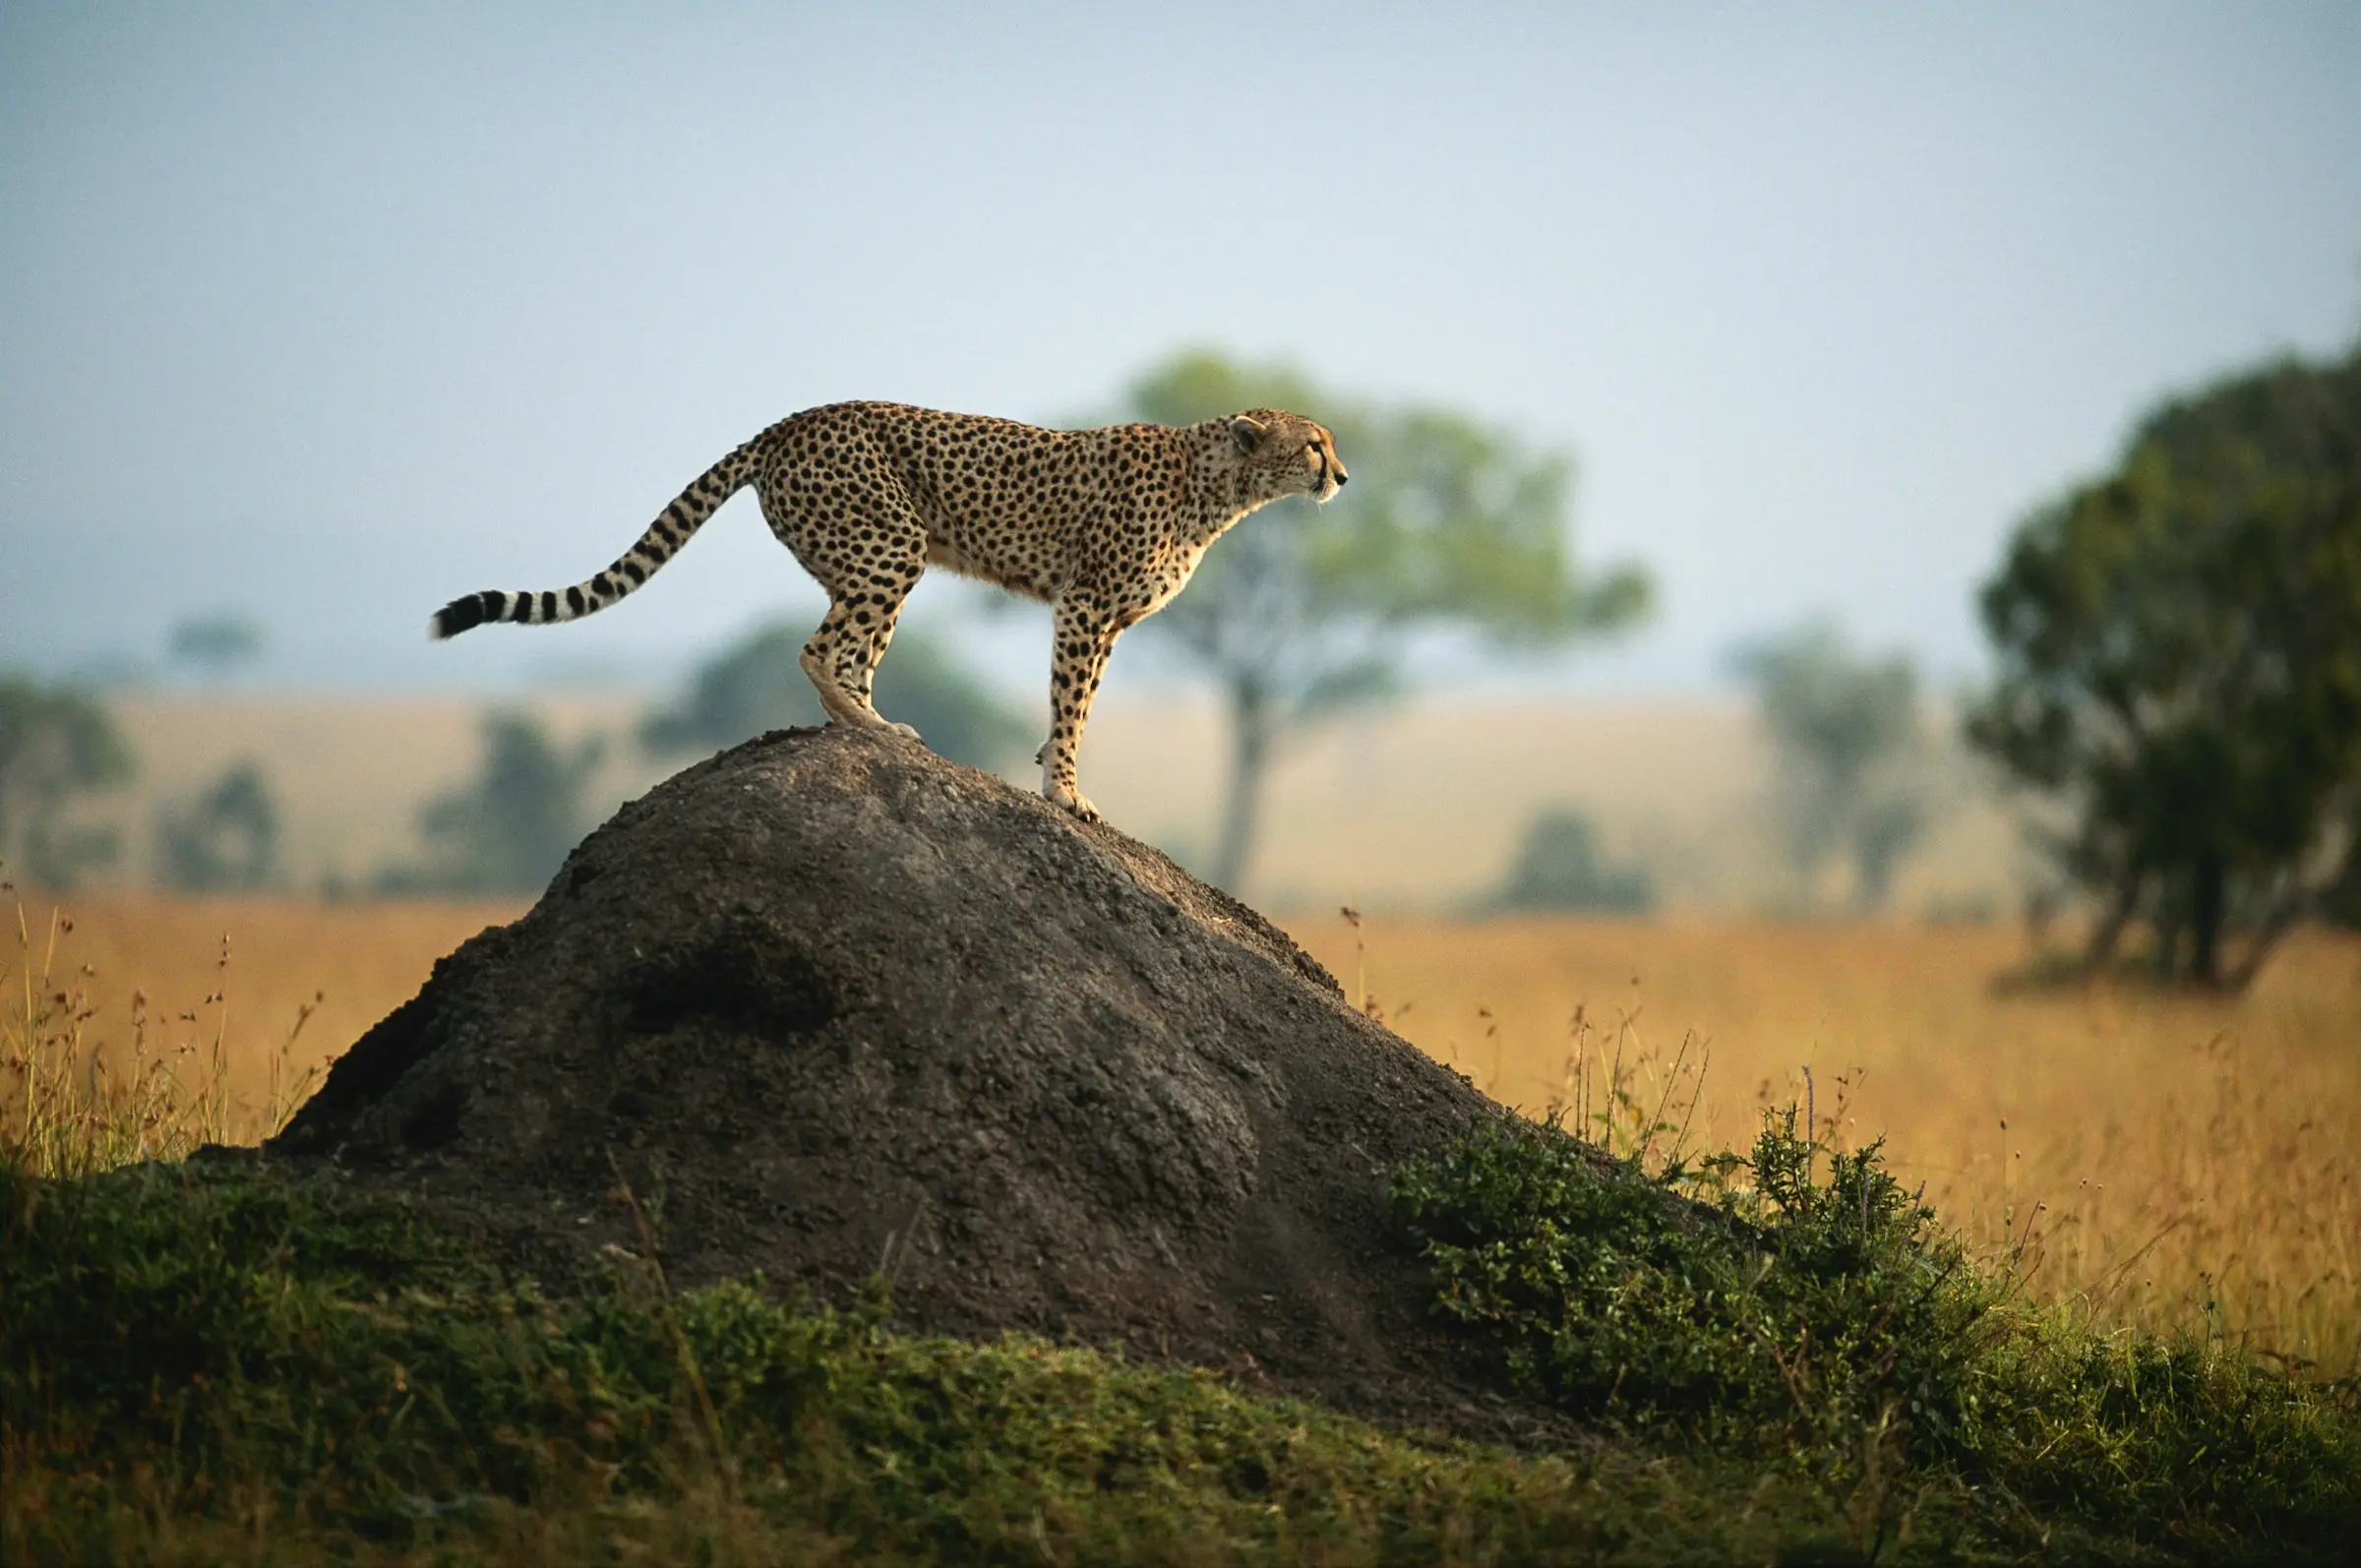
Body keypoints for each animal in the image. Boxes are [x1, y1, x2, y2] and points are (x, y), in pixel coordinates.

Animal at [429, 401, 1347, 821]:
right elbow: (1073, 706)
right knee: (820, 649)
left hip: (874, 558)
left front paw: (1052, 773)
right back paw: (870, 729)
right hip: (890, 546)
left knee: (851, 652)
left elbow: (1073, 706)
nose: (1342, 476)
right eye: (1314, 443)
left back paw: (871, 728)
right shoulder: (1086, 608)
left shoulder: (1107, 621)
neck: (1218, 486)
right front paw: (1065, 794)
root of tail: (792, 420)